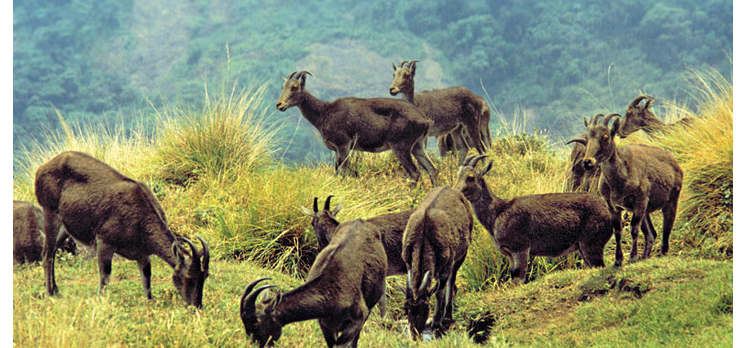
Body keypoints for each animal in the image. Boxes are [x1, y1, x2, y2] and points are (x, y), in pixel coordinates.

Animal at [34, 152, 208, 308]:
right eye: (188, 276)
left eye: (205, 275)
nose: (196, 306)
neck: (141, 219)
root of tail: (40, 170)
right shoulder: (104, 241)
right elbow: (105, 276)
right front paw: (100, 301)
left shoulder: (143, 254)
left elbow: (146, 279)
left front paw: (148, 304)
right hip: (50, 212)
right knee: (47, 253)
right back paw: (49, 293)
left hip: (65, 227)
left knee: (53, 251)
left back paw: (55, 289)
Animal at [402, 186, 472, 338]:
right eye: (406, 309)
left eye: (425, 309)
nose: (415, 336)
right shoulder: (408, 262)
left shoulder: (447, 264)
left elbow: (439, 292)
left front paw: (436, 322)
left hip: (461, 254)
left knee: (452, 280)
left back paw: (447, 315)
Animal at [568, 114, 684, 264]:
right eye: (587, 138)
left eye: (605, 136)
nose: (588, 162)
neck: (620, 179)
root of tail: (675, 163)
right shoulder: (613, 206)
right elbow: (618, 231)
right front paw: (618, 261)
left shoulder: (640, 201)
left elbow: (634, 229)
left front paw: (632, 258)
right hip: (646, 211)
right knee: (651, 234)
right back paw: (644, 257)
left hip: (671, 200)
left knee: (667, 227)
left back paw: (662, 254)